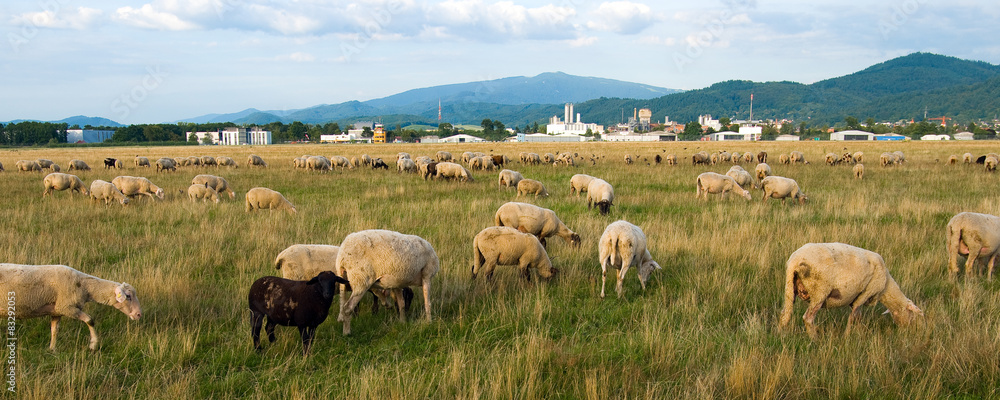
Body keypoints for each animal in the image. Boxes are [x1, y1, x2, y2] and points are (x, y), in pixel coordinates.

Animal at [0, 263, 141, 350]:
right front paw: (93, 345)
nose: (139, 314)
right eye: (128, 296)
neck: (85, 286)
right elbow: (90, 320)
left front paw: (52, 349)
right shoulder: (67, 307)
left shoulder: (57, 310)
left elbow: (54, 330)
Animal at [778, 243, 923, 338]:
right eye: (913, 315)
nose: (915, 331)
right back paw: (815, 339)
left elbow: (857, 316)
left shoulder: (856, 298)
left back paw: (780, 334)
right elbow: (853, 317)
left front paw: (857, 333)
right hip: (819, 291)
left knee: (785, 314)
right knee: (808, 318)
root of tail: (795, 260)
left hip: (789, 288)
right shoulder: (866, 293)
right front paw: (847, 336)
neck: (886, 287)